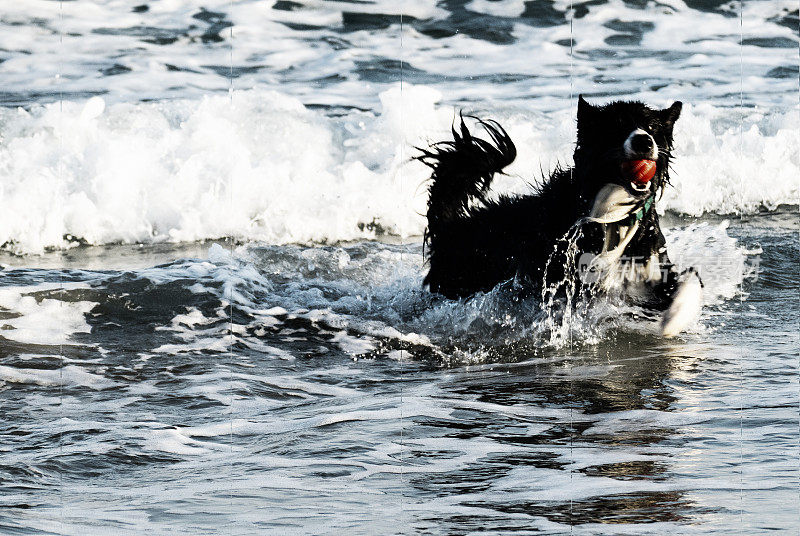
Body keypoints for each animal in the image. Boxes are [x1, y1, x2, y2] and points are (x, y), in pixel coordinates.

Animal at [416, 96, 704, 338]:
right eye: (618, 127)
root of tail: (453, 225)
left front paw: (676, 318)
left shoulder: (651, 272)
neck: (613, 214)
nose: (644, 141)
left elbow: (689, 282)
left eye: (652, 128)